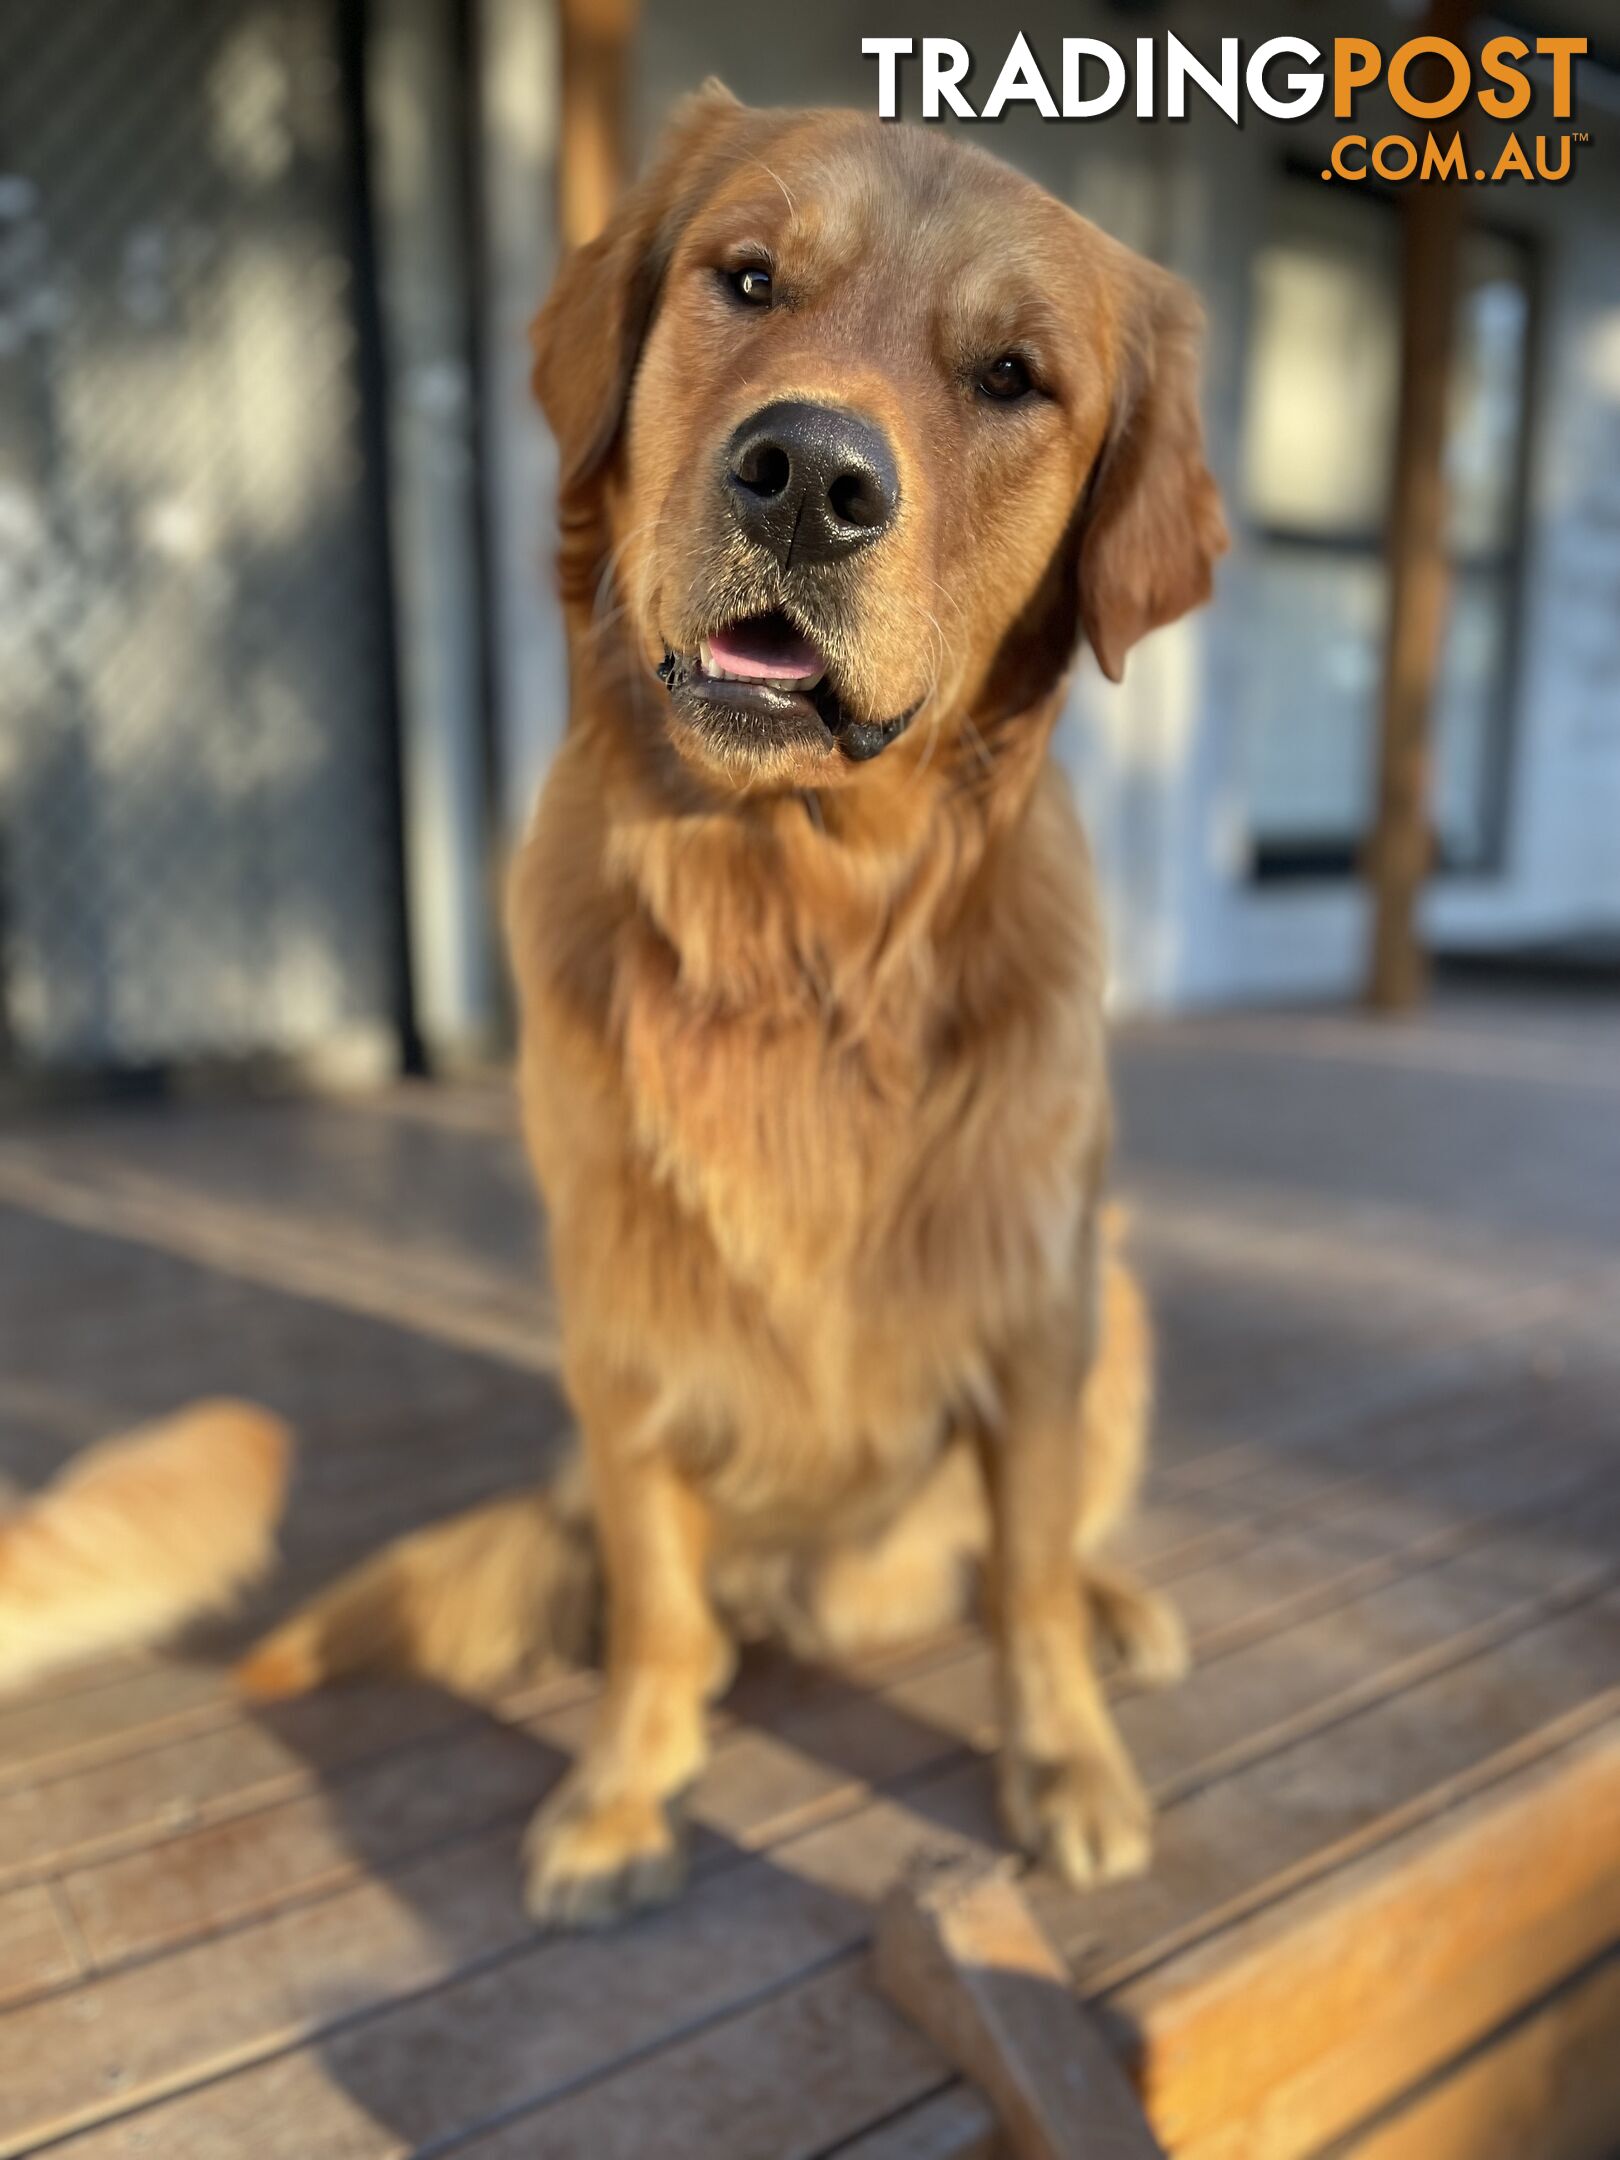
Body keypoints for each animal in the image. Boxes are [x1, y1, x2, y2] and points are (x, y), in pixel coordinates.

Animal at [244, 88, 1226, 1944]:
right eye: (750, 277)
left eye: (1015, 377)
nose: (812, 478)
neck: (796, 919)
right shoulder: (621, 1318)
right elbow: (649, 1592)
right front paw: (625, 1793)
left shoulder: (1036, 1300)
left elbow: (1028, 1580)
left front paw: (1064, 1762)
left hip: (1121, 1300)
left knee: (1038, 1553)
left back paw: (1118, 1608)